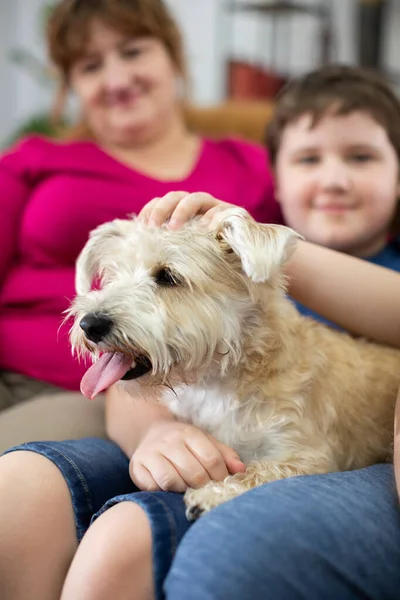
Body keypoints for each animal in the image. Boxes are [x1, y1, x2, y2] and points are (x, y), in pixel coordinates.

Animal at [68, 209, 400, 516]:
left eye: (168, 276)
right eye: (112, 275)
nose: (90, 324)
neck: (220, 383)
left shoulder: (307, 455)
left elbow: (257, 472)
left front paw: (210, 494)